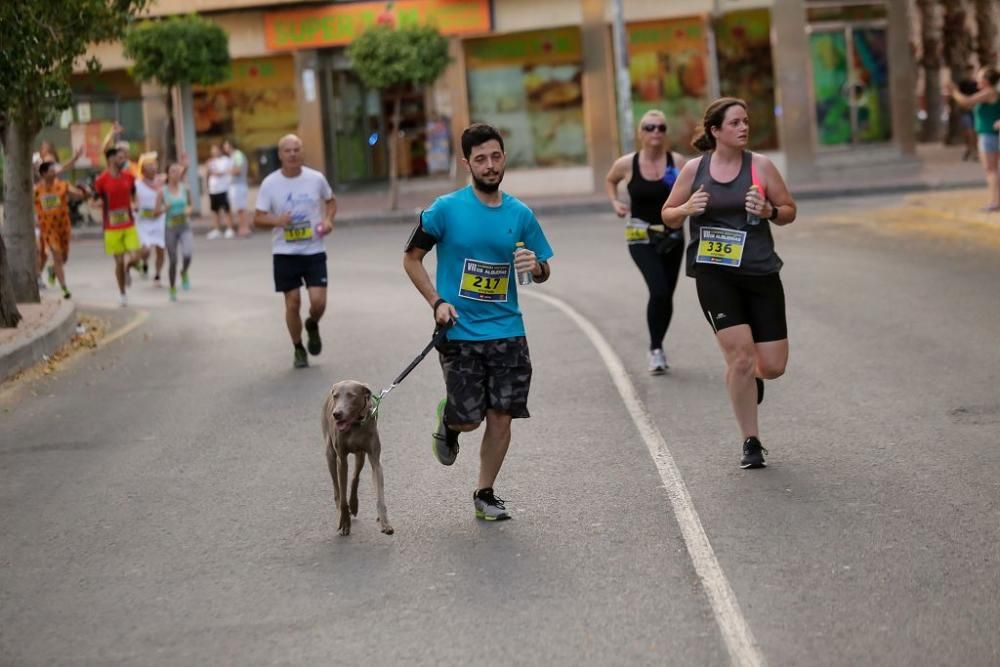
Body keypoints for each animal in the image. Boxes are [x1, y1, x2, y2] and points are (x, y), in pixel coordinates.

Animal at [324, 380, 394, 536]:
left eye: (351, 395)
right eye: (336, 396)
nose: (337, 414)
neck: (354, 426)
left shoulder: (375, 459)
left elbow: (380, 495)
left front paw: (385, 523)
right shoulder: (341, 460)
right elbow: (343, 497)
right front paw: (345, 522)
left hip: (360, 454)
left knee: (355, 477)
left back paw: (354, 504)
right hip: (330, 453)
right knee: (337, 488)